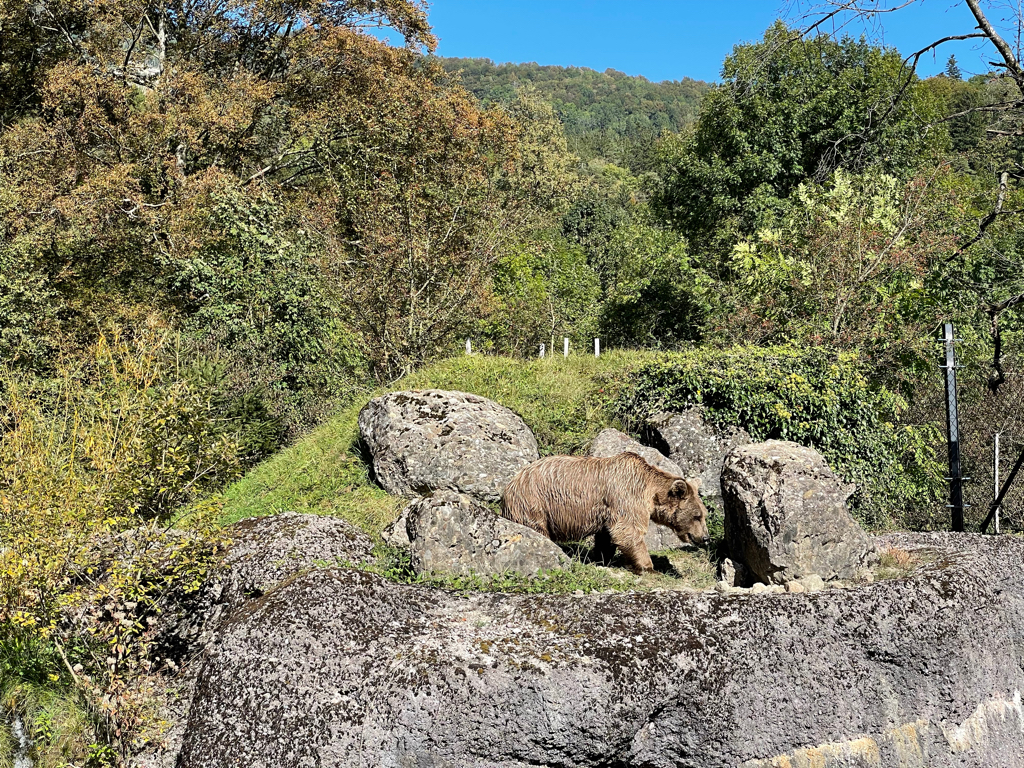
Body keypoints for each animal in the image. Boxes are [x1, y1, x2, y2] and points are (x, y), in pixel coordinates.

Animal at [499, 451, 709, 574]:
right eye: (697, 516)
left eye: (703, 514)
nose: (705, 537)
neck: (648, 491)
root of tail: (510, 485)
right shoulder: (626, 496)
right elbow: (628, 530)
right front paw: (647, 566)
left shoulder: (607, 511)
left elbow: (607, 536)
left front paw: (602, 557)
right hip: (535, 504)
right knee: (537, 530)